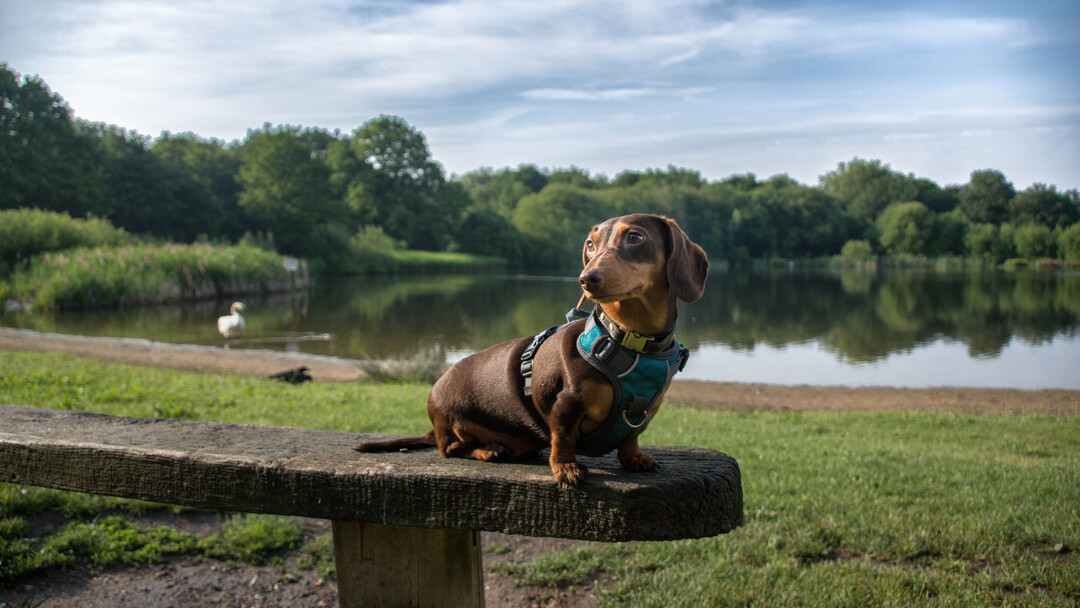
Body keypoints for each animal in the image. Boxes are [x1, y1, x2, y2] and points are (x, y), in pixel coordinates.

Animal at [356, 213, 708, 485]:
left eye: (635, 237)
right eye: (590, 244)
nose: (586, 278)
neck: (630, 340)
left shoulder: (646, 410)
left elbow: (631, 436)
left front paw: (635, 457)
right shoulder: (564, 403)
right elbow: (562, 437)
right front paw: (566, 467)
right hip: (454, 423)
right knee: (452, 449)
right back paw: (486, 449)